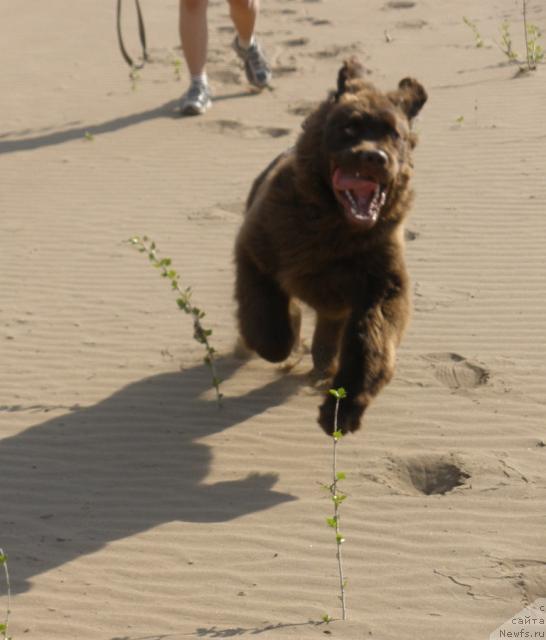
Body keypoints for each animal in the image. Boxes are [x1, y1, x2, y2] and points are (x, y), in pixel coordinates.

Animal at [234, 58, 424, 436]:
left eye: (394, 134)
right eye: (350, 126)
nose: (374, 157)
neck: (334, 227)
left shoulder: (381, 286)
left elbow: (371, 346)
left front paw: (344, 409)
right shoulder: (255, 252)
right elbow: (269, 329)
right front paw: (287, 330)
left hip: (335, 312)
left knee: (328, 342)